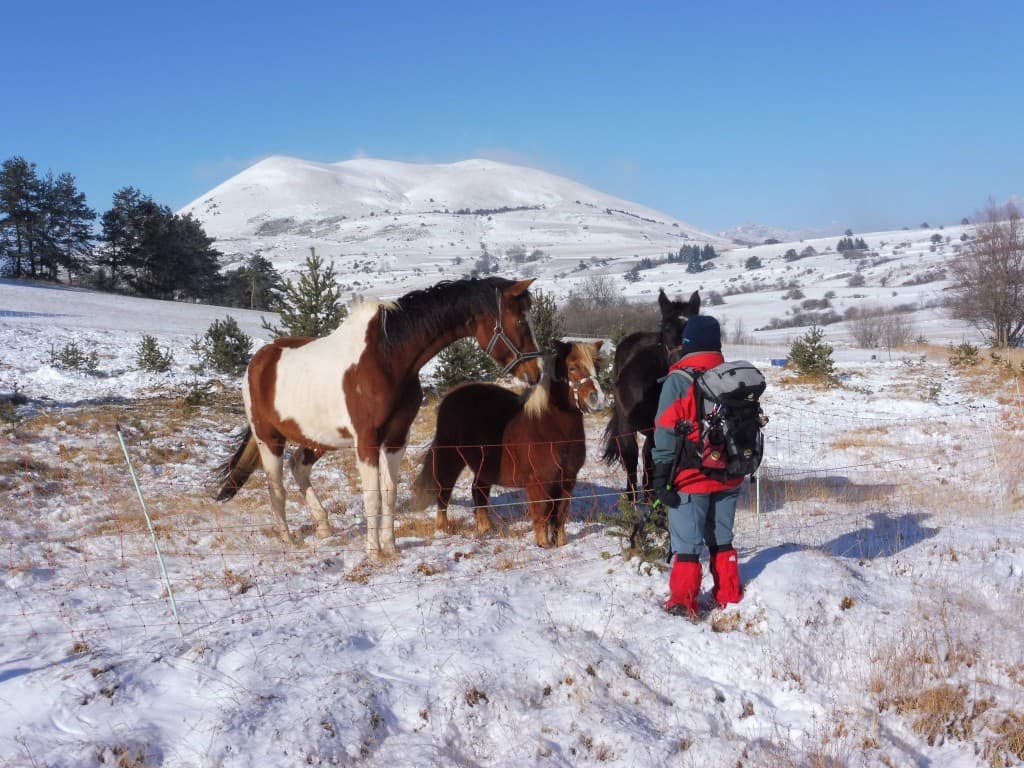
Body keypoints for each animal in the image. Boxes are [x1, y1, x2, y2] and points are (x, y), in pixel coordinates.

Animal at [210, 276, 540, 561]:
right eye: (520, 321)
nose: (535, 373)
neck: (387, 359)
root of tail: (258, 361)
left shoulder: (396, 438)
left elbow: (389, 493)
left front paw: (390, 546)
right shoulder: (367, 441)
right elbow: (372, 497)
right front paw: (373, 551)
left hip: (318, 438)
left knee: (299, 466)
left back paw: (323, 526)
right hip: (269, 438)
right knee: (275, 487)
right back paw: (288, 539)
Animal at [407, 342, 602, 548]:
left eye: (597, 367)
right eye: (572, 368)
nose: (596, 398)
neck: (550, 427)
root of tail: (451, 395)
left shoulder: (568, 480)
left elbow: (560, 515)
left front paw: (561, 543)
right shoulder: (539, 481)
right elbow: (542, 512)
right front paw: (543, 544)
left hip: (484, 466)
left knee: (478, 491)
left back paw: (486, 529)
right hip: (451, 458)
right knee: (444, 491)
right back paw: (443, 529)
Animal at [598, 290, 704, 501]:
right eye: (667, 329)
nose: (685, 364)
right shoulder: (627, 426)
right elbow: (630, 456)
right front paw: (630, 501)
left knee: (649, 455)